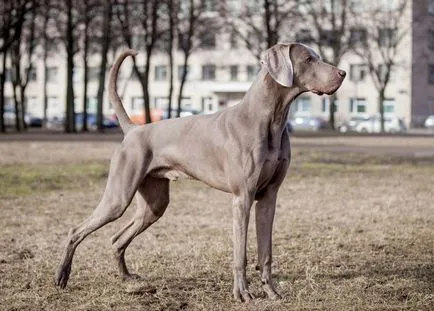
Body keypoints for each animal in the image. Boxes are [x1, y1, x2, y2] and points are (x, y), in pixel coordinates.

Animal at [55, 42, 346, 302]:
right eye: (308, 59)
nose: (342, 73)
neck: (271, 119)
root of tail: (134, 129)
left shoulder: (269, 197)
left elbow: (266, 252)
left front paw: (272, 292)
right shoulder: (242, 198)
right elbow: (240, 253)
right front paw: (242, 294)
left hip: (154, 204)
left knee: (117, 239)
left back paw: (128, 280)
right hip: (119, 195)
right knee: (76, 230)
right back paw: (62, 276)